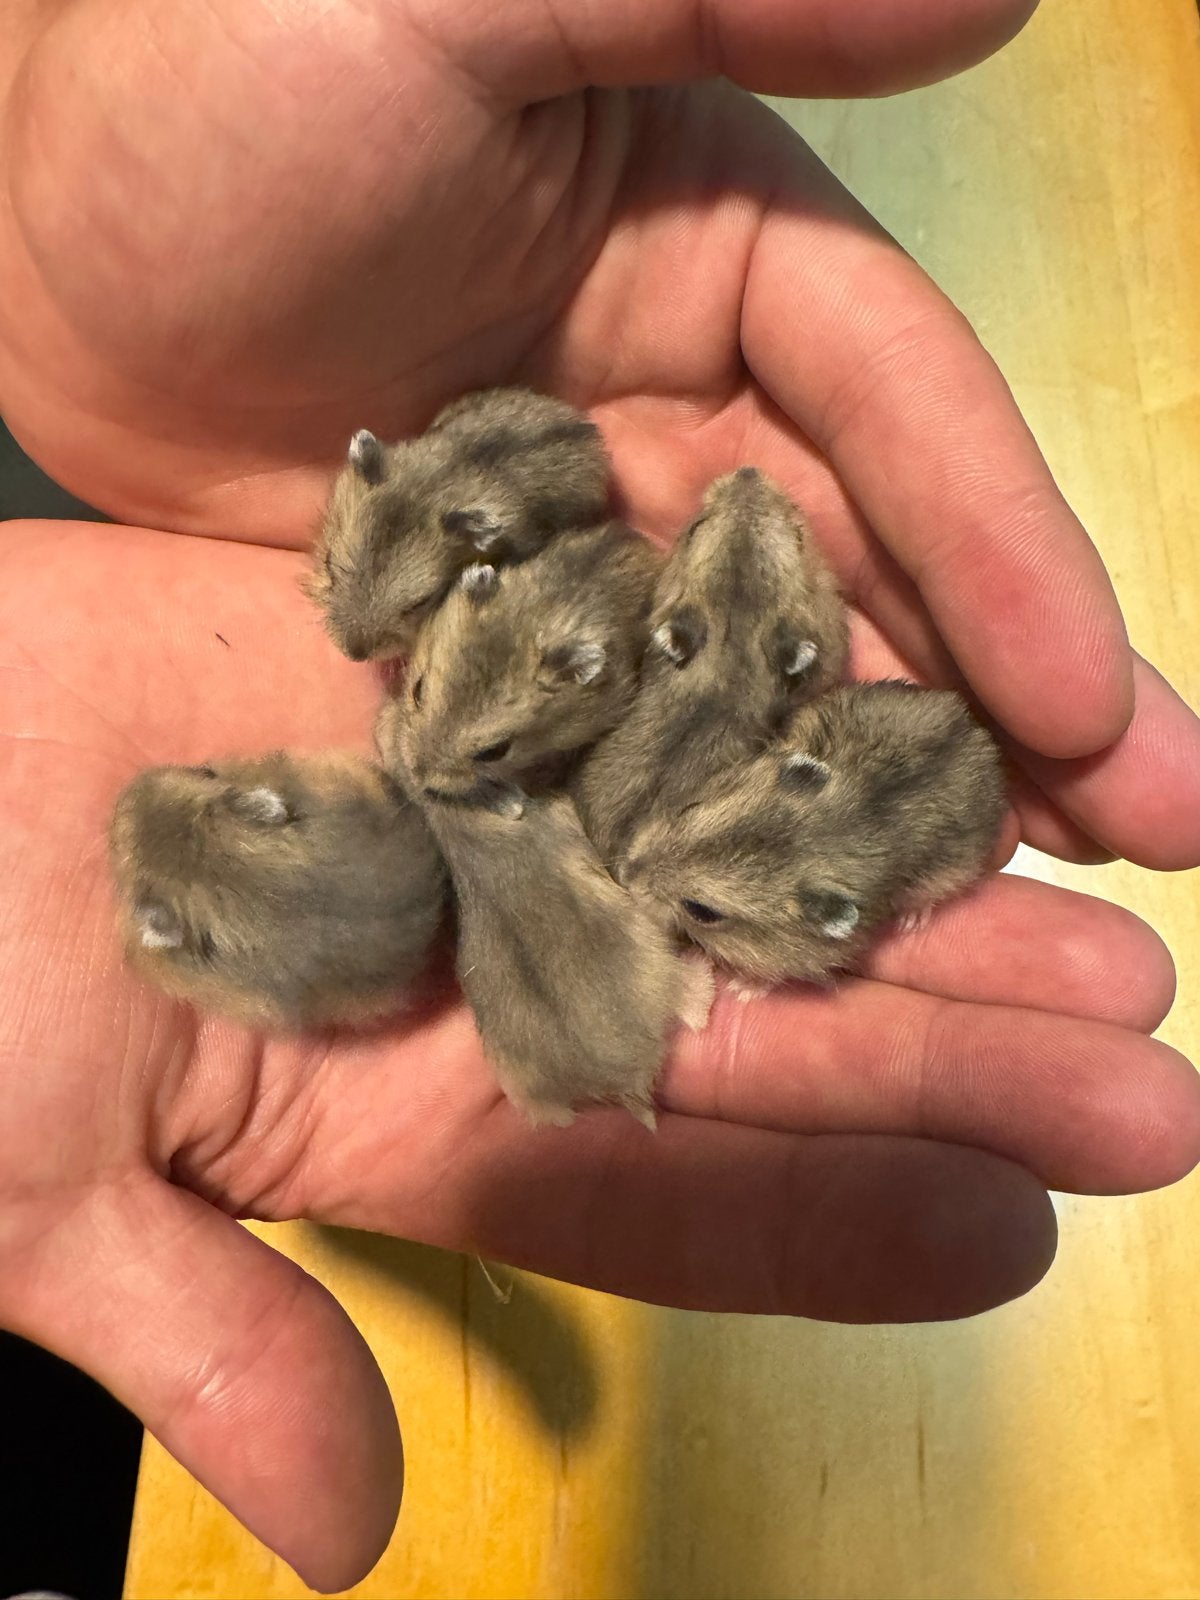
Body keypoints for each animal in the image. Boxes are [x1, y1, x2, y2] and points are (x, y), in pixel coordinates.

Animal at [619, 681, 1006, 985]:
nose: (625, 873)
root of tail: (981, 738)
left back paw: (913, 920)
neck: (815, 835)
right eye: (689, 808)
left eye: (701, 911)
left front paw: (741, 989)